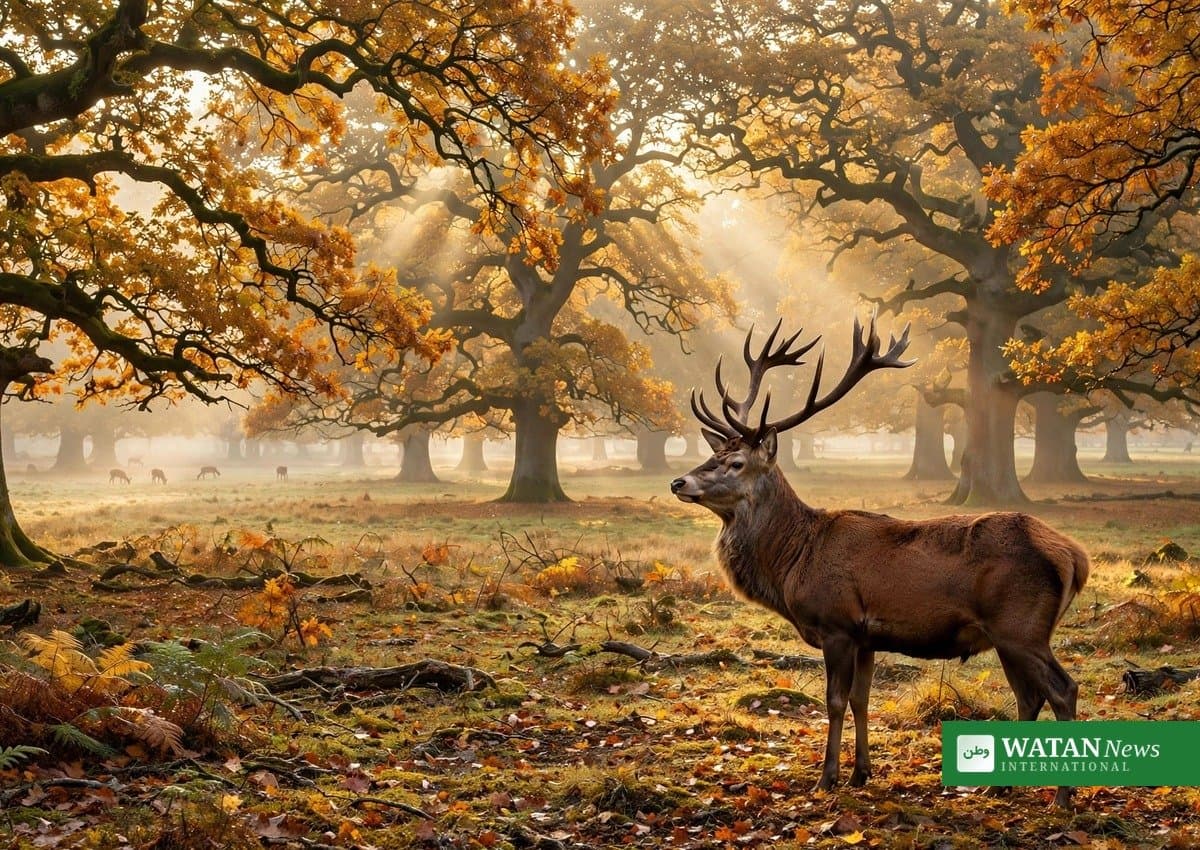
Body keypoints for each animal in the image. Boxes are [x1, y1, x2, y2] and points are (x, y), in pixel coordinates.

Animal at [670, 315, 1090, 808]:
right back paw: (1001, 785)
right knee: (1028, 697)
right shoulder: (866, 636)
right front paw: (862, 772)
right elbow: (861, 700)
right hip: (1008, 635)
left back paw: (1062, 797)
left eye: (735, 463)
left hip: (1021, 625)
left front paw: (827, 778)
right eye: (712, 454)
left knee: (1062, 690)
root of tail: (1074, 555)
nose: (678, 482)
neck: (794, 560)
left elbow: (834, 701)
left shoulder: (836, 624)